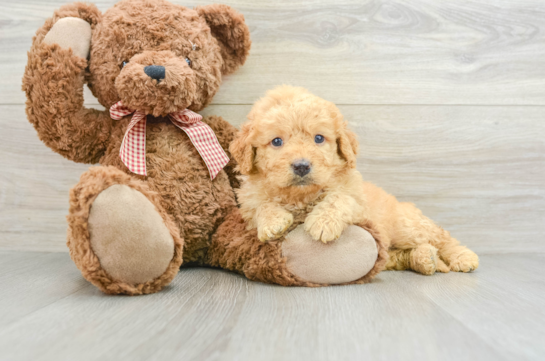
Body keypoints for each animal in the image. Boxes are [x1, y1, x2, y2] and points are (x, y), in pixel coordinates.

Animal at [232, 86, 478, 274]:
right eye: (276, 141)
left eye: (319, 138)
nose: (302, 166)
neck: (301, 196)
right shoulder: (248, 202)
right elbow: (260, 206)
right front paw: (273, 221)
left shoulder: (358, 201)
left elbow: (339, 198)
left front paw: (322, 223)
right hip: (391, 249)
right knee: (399, 255)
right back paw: (425, 259)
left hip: (407, 226)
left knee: (441, 237)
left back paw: (463, 257)